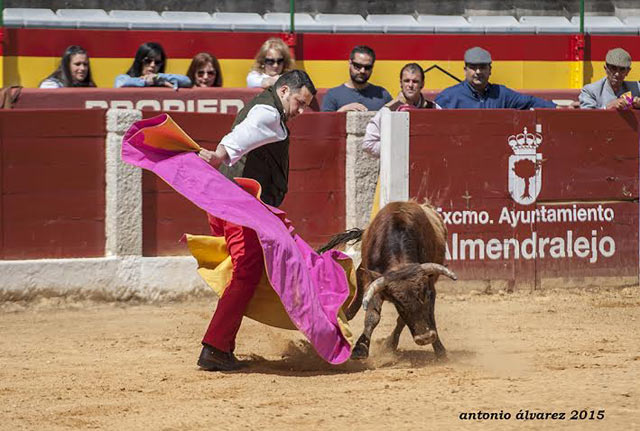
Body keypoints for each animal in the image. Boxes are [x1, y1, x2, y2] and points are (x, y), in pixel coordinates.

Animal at [318, 202, 458, 362]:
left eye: (423, 296)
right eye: (399, 303)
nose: (425, 338)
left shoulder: (429, 288)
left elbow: (419, 316)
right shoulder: (374, 282)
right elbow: (372, 316)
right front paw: (360, 349)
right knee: (358, 297)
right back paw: (346, 316)